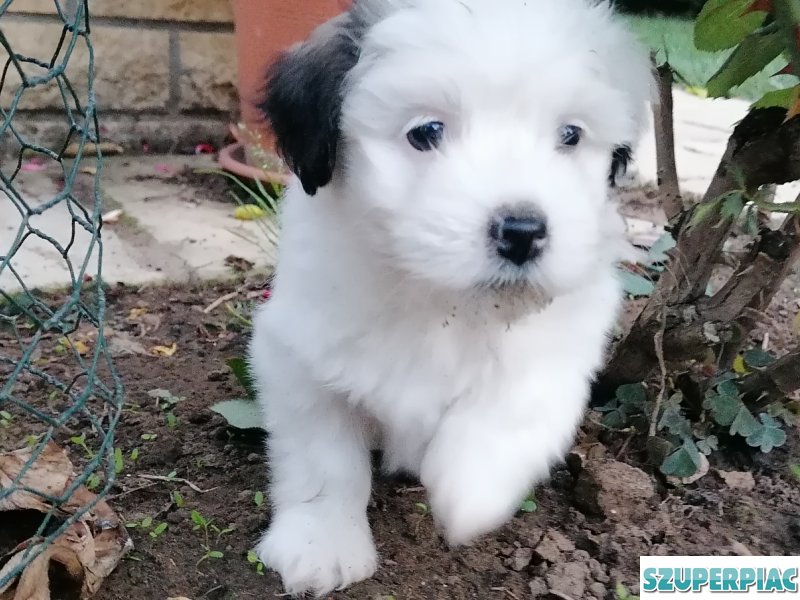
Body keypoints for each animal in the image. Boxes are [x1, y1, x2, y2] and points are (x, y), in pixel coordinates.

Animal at [248, 0, 648, 596]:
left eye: (571, 135)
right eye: (426, 132)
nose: (523, 231)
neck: (443, 302)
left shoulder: (568, 334)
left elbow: (518, 401)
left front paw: (470, 489)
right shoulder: (297, 352)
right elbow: (324, 455)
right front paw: (322, 544)